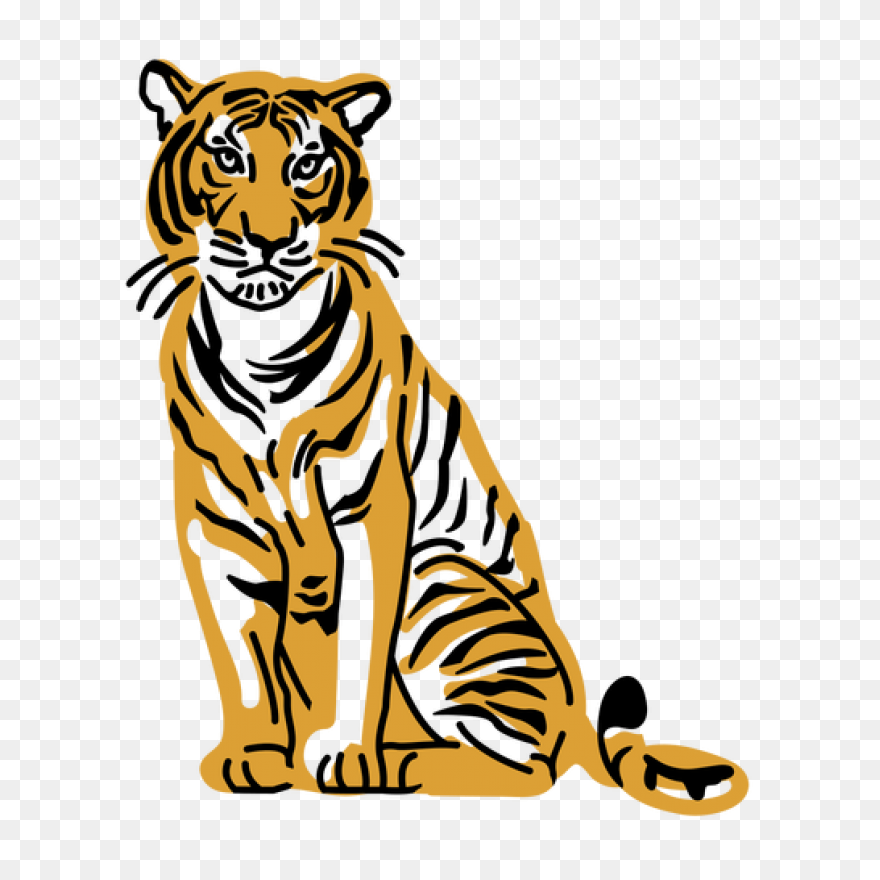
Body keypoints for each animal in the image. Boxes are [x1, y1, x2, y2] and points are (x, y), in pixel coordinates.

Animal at [129, 59, 749, 813]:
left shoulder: (373, 511)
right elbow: (244, 667)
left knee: (526, 766)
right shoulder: (218, 529)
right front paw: (254, 757)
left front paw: (344, 753)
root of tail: (576, 713)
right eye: (226, 158)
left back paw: (404, 765)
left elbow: (360, 647)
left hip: (438, 585)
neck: (261, 343)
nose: (270, 241)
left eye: (306, 165)